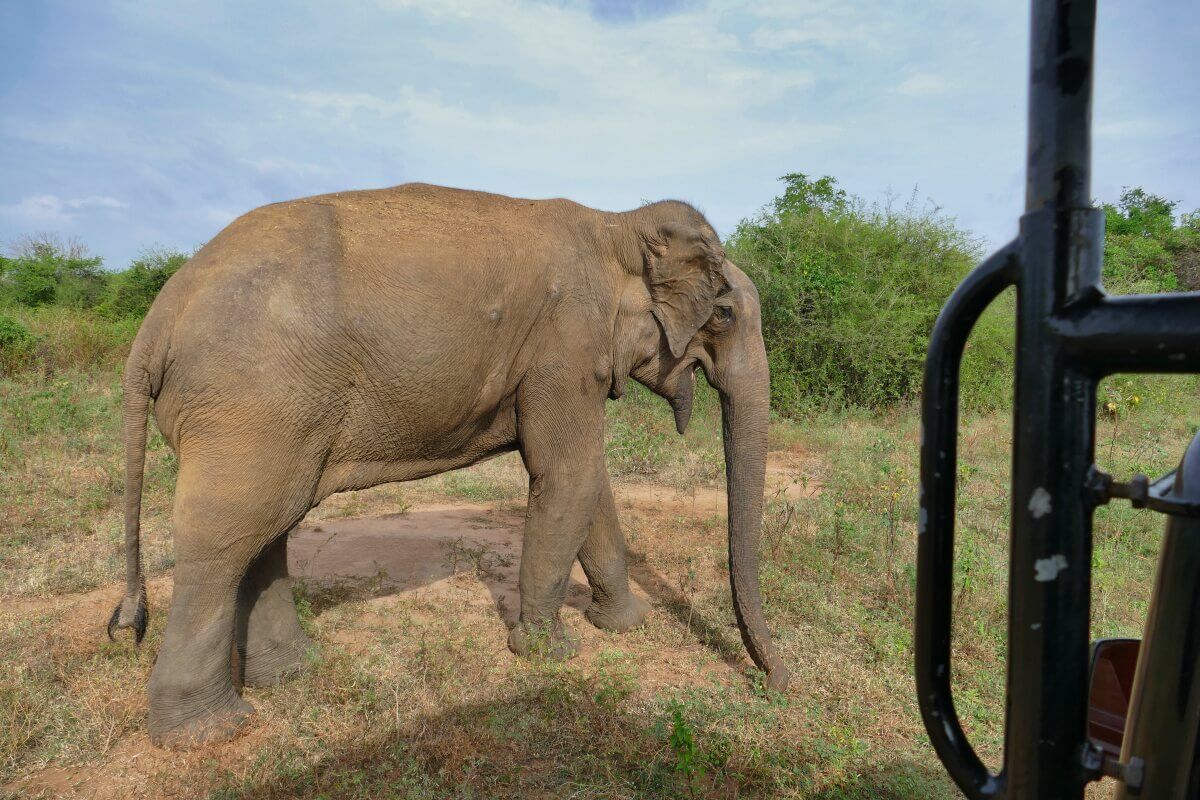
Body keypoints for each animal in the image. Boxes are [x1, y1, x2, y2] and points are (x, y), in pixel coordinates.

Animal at [110, 179, 787, 743]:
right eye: (723, 313)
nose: (774, 682)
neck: (616, 223)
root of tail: (156, 322)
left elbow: (589, 482)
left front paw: (624, 624)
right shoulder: (564, 343)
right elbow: (565, 475)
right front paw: (549, 654)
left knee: (266, 529)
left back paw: (293, 673)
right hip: (250, 401)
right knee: (225, 536)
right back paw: (210, 731)